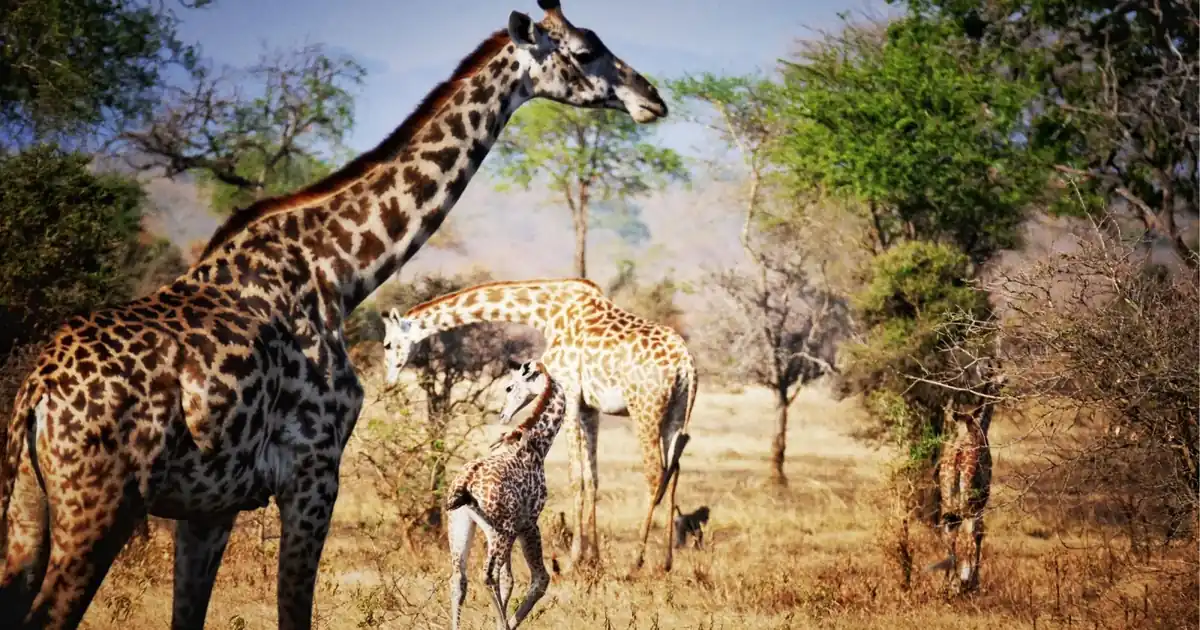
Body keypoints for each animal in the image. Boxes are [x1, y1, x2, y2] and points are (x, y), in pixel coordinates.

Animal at [382, 277, 698, 573]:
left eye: (386, 344)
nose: (388, 381)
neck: (545, 313)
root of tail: (687, 366)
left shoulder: (569, 392)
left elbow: (576, 477)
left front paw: (573, 559)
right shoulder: (589, 407)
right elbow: (592, 478)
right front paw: (594, 558)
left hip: (644, 407)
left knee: (656, 473)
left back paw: (637, 560)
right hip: (675, 413)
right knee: (675, 471)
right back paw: (666, 561)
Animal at [446, 360, 564, 630]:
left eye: (509, 387)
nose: (503, 415)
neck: (538, 446)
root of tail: (465, 482)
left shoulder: (505, 528)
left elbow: (508, 579)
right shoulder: (528, 523)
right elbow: (539, 579)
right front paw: (506, 624)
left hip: (461, 524)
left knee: (459, 578)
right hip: (504, 530)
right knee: (488, 575)